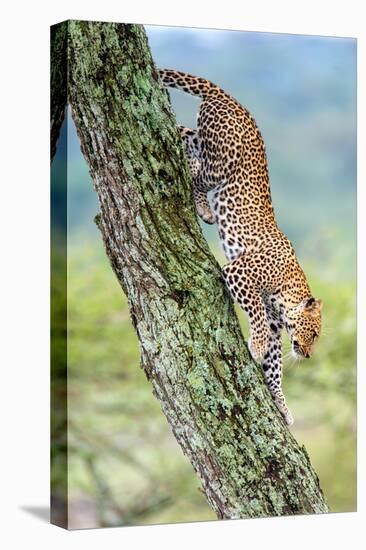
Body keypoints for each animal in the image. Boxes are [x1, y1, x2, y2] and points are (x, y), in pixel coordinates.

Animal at [159, 68, 322, 426]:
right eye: (316, 334)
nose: (307, 355)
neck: (289, 290)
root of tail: (231, 99)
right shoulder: (239, 273)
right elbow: (257, 315)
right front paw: (256, 347)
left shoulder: (277, 325)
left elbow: (275, 366)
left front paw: (281, 404)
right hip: (222, 160)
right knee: (197, 171)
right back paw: (204, 207)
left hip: (204, 138)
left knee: (183, 133)